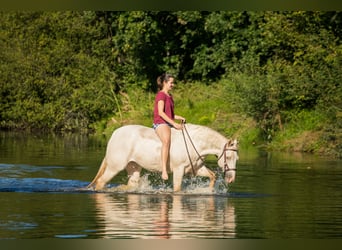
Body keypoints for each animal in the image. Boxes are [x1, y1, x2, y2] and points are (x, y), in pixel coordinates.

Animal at [87, 123, 239, 191]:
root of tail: (114, 134)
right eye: (228, 157)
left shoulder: (196, 168)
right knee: (100, 182)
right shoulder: (179, 170)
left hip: (134, 167)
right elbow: (177, 189)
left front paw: (209, 191)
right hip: (115, 167)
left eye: (236, 158)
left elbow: (212, 176)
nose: (231, 179)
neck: (195, 142)